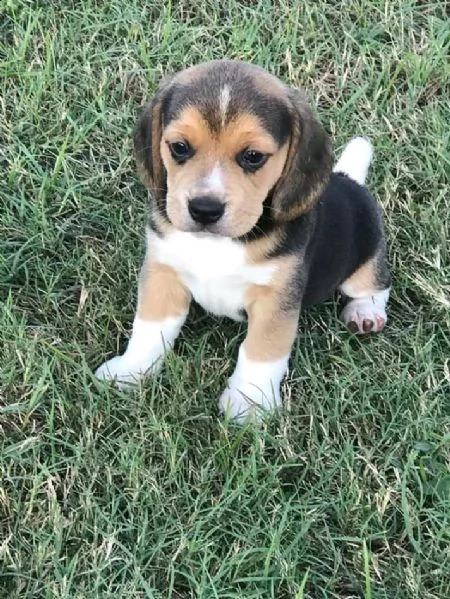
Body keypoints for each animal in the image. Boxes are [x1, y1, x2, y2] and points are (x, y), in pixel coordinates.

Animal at [95, 57, 390, 422]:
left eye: (253, 156)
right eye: (179, 147)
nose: (204, 209)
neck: (217, 243)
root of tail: (348, 178)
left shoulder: (275, 298)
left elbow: (261, 351)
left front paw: (249, 403)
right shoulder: (163, 274)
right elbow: (149, 328)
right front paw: (130, 372)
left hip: (366, 253)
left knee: (374, 285)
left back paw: (365, 313)